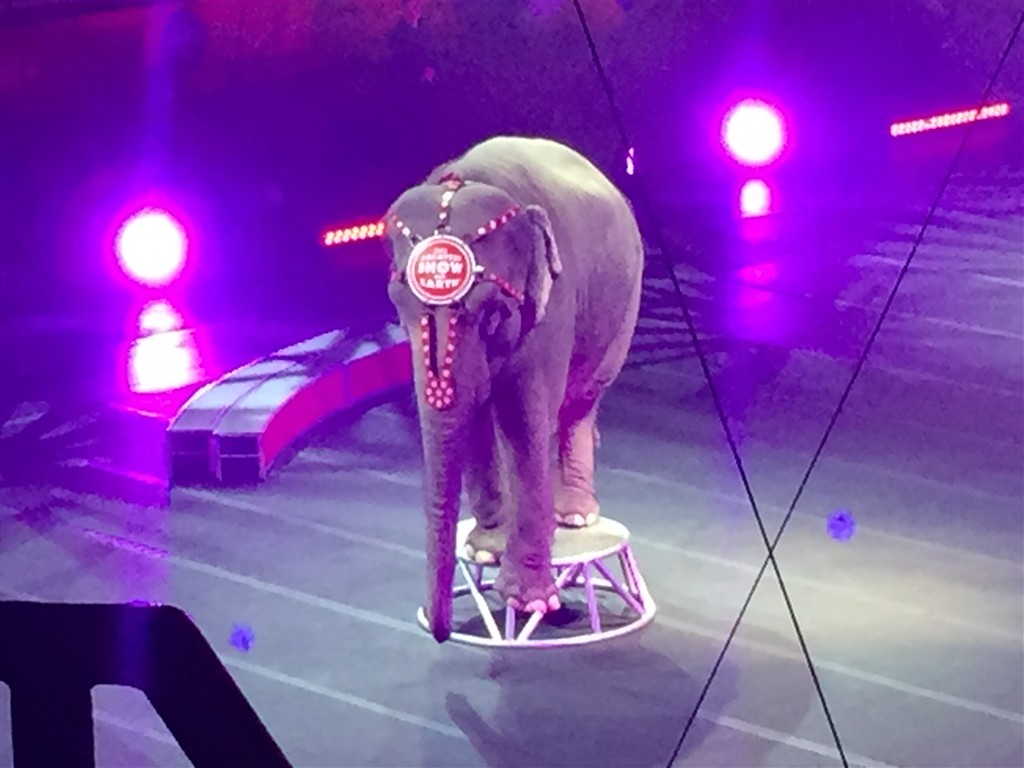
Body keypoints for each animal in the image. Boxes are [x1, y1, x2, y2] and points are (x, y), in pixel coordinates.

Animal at [384, 136, 643, 643]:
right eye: (398, 306)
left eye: (493, 314)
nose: (441, 631)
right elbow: (478, 416)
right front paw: (485, 551)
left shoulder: (553, 303)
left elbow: (524, 417)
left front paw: (530, 601)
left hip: (625, 306)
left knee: (580, 403)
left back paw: (576, 516)